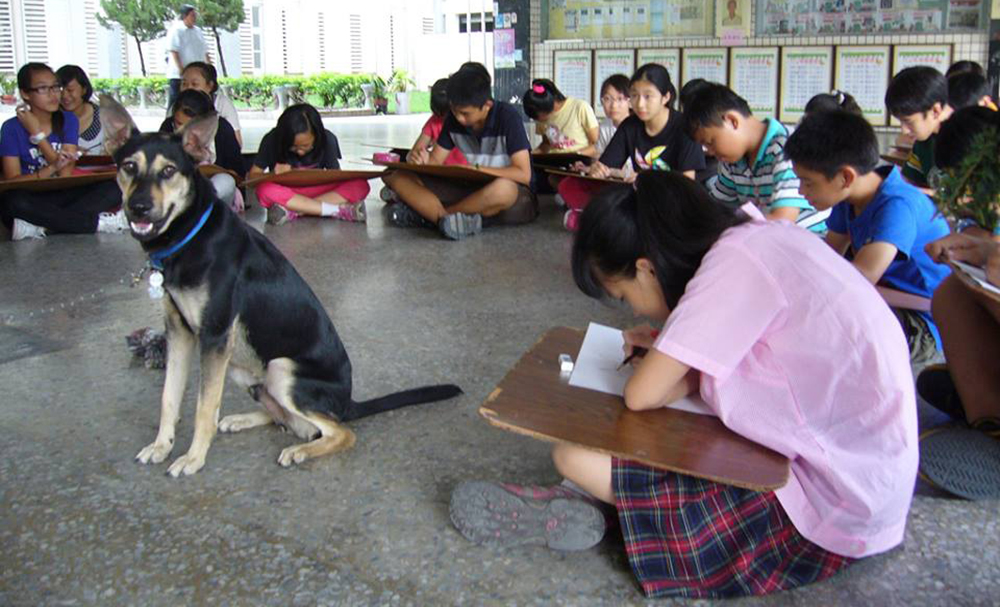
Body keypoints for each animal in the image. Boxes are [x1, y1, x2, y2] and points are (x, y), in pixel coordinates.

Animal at [101, 100, 460, 478]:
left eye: (169, 170)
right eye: (128, 167)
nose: (138, 208)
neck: (190, 235)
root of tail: (347, 403)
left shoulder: (214, 336)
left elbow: (203, 408)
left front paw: (193, 458)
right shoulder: (180, 333)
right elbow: (169, 398)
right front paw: (161, 446)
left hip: (281, 370)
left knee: (338, 431)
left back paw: (301, 450)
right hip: (244, 364)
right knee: (286, 420)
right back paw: (245, 420)